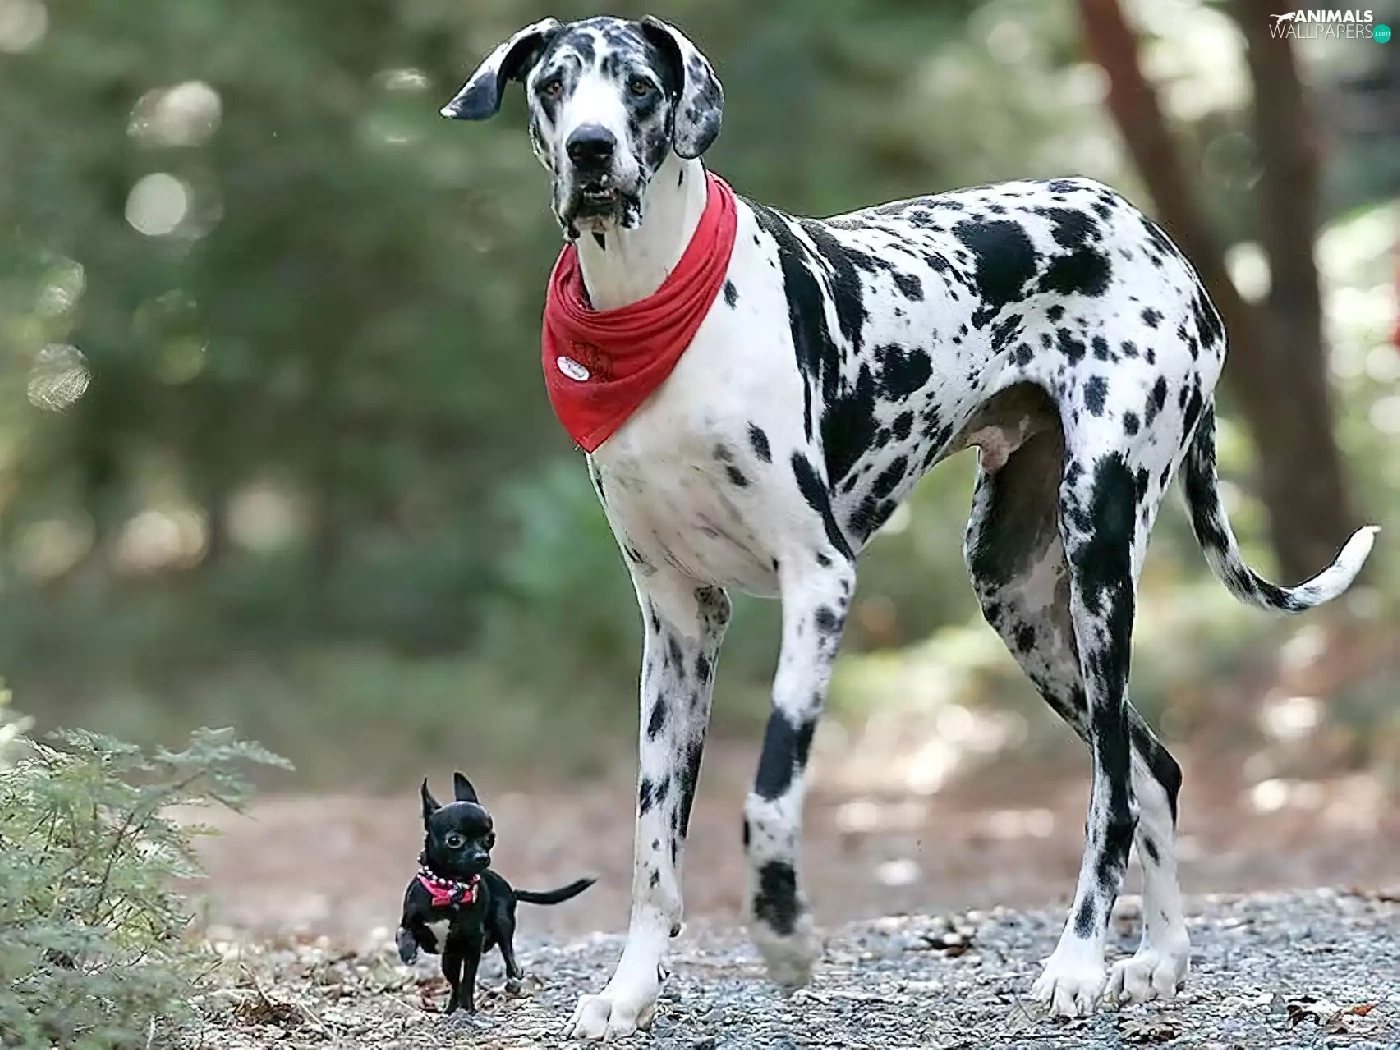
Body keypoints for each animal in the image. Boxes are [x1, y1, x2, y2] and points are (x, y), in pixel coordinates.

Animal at [396, 773, 594, 1015]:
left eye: (490, 839)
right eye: (454, 840)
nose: (482, 857)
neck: (450, 888)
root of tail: (511, 890)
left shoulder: (472, 942)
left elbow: (468, 978)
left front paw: (469, 1008)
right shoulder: (417, 927)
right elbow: (404, 933)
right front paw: (408, 951)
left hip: (502, 923)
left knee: (507, 954)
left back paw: (512, 978)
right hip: (451, 956)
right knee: (454, 979)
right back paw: (452, 1007)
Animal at [439, 15, 1378, 1040]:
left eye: (640, 87)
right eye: (555, 85)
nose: (591, 149)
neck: (655, 307)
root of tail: (1151, 232)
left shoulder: (819, 581)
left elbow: (768, 798)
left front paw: (785, 938)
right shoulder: (679, 623)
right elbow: (653, 843)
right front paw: (632, 988)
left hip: (1097, 559)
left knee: (1113, 792)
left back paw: (1078, 961)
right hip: (1018, 597)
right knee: (1150, 767)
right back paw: (1160, 957)